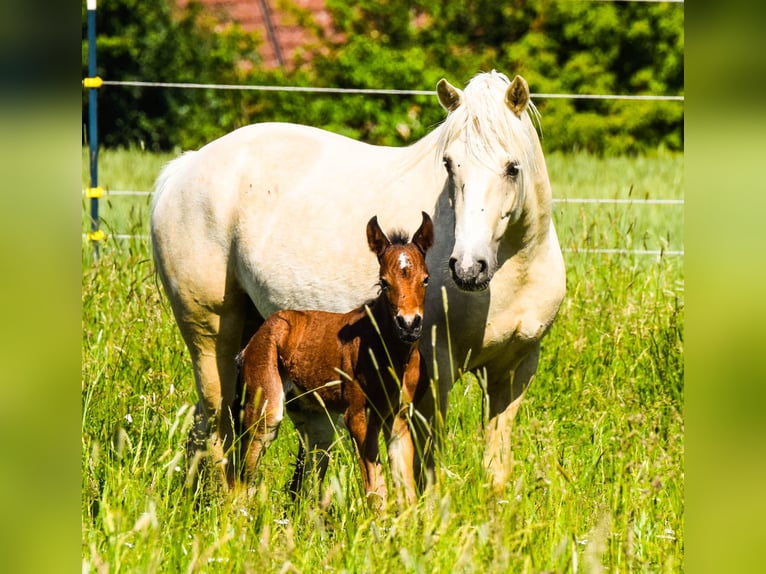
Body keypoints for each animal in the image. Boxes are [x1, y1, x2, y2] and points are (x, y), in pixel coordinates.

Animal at [234, 212, 433, 508]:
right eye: (384, 282)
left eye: (426, 279)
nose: (409, 325)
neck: (389, 357)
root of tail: (252, 341)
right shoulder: (358, 415)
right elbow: (376, 491)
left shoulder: (398, 417)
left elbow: (405, 489)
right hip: (265, 407)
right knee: (242, 477)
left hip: (314, 420)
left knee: (300, 485)